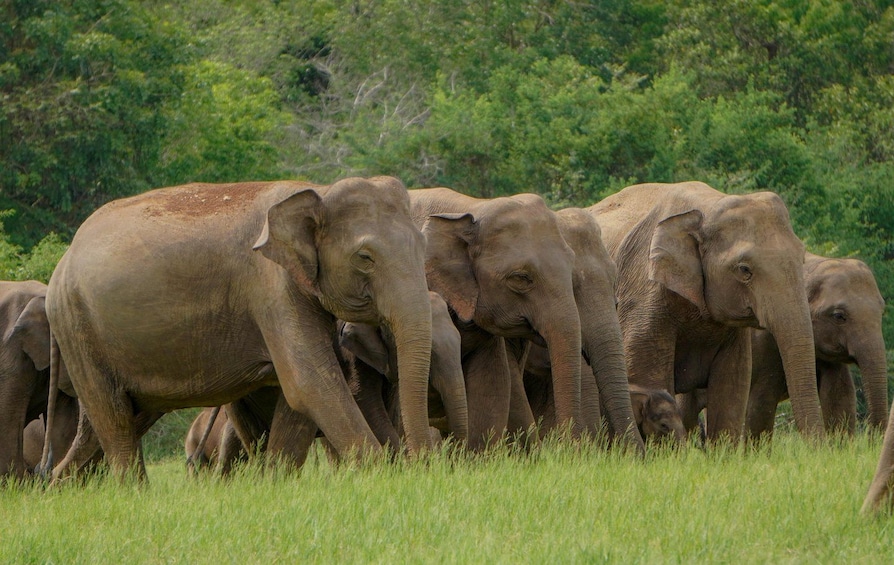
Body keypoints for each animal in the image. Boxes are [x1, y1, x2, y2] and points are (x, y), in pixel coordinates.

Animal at [46, 176, 435, 482]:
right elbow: (309, 382)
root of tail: (62, 261)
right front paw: (382, 477)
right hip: (75, 325)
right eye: (365, 258)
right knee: (114, 418)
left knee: (117, 420)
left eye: (423, 246)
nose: (421, 466)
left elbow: (298, 395)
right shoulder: (271, 286)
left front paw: (276, 484)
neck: (318, 191)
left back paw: (57, 487)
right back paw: (130, 493)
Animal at [588, 181, 824, 441]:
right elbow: (648, 377)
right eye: (744, 269)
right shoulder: (642, 298)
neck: (707, 206)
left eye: (802, 258)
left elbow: (731, 385)